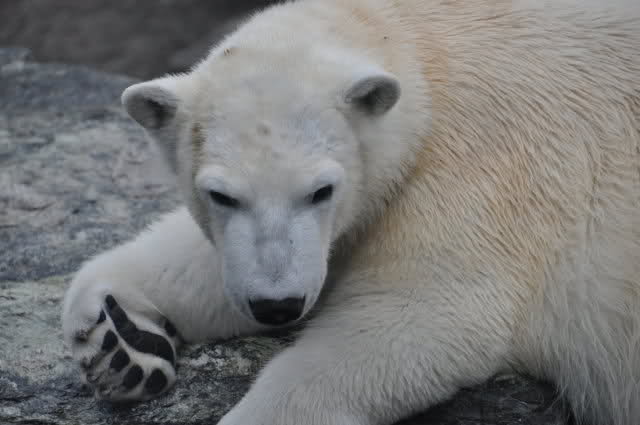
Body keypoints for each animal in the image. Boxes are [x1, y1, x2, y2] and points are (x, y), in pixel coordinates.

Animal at [61, 0, 640, 424]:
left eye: (322, 190)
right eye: (222, 196)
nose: (278, 306)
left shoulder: (488, 171)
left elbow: (429, 315)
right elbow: (211, 264)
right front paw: (117, 339)